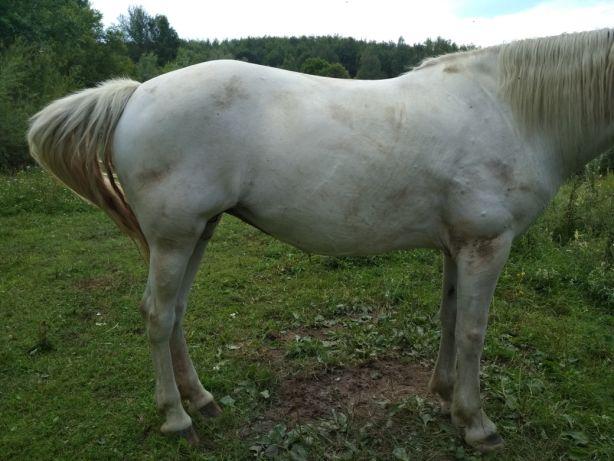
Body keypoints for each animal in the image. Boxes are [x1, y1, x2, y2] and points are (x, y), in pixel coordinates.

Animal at [28, 29, 614, 452]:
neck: (511, 109)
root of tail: (137, 94)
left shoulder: (458, 247)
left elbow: (450, 320)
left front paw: (445, 395)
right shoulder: (486, 245)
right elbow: (473, 331)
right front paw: (476, 422)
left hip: (197, 232)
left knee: (174, 314)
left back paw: (202, 400)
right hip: (175, 237)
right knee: (156, 314)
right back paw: (176, 418)